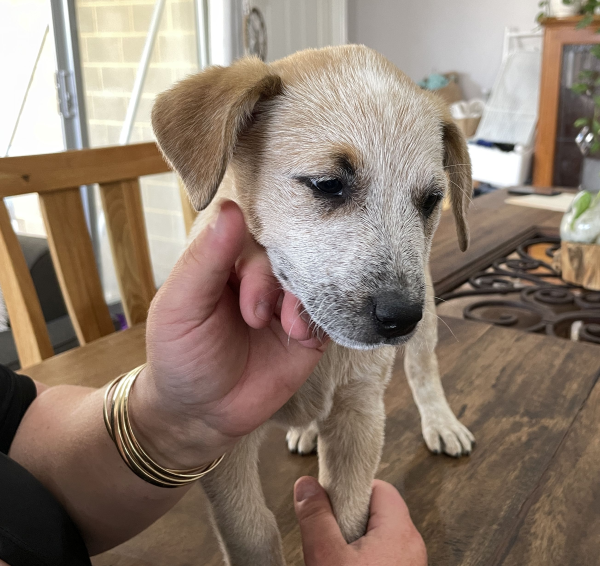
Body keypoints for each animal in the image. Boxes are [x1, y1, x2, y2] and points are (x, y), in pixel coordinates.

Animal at [152, 45, 476, 566]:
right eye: (327, 184)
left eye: (430, 201)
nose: (402, 318)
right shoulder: (226, 446)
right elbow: (251, 532)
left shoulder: (360, 415)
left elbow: (346, 524)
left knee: (423, 370)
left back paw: (441, 421)